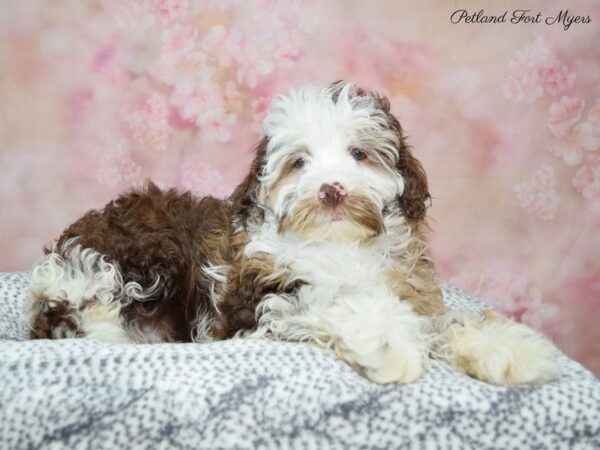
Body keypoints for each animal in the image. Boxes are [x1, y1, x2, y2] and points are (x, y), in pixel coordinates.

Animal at [23, 81, 560, 384]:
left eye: (359, 154)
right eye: (299, 162)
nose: (331, 190)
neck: (338, 243)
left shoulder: (409, 285)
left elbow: (441, 321)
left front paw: (507, 348)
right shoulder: (259, 298)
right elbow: (331, 301)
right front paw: (389, 342)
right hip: (145, 256)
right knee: (85, 311)